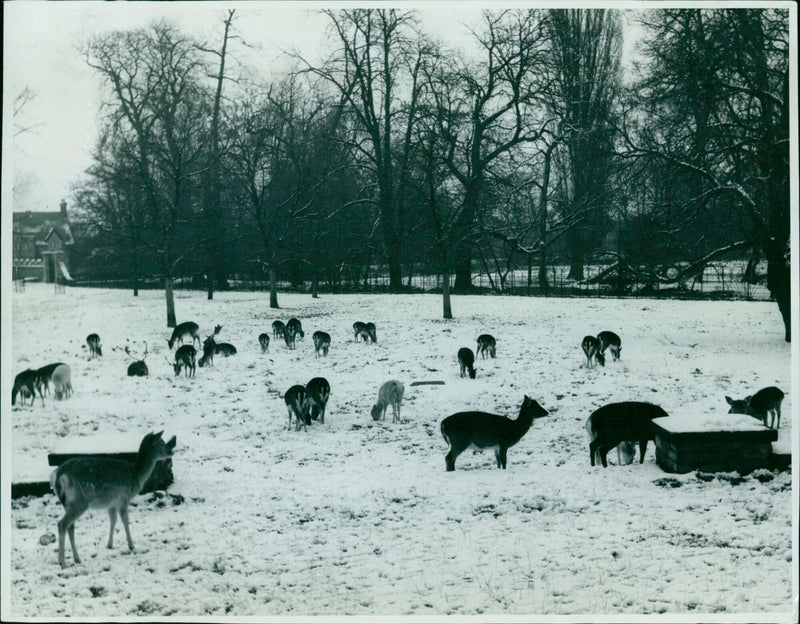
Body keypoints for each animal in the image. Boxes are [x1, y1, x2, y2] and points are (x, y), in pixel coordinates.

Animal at [50, 432, 177, 568]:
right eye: (161, 443)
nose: (171, 451)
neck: (136, 474)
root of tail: (57, 476)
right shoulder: (124, 497)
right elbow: (125, 520)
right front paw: (132, 546)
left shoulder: (111, 502)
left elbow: (113, 520)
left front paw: (110, 545)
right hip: (79, 502)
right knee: (62, 524)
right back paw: (62, 562)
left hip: (68, 503)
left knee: (70, 526)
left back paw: (77, 558)